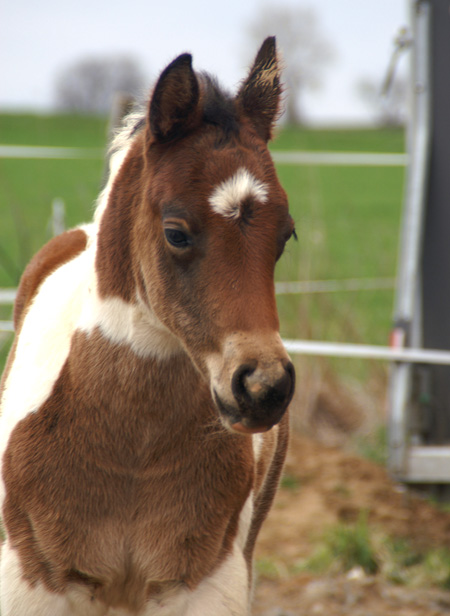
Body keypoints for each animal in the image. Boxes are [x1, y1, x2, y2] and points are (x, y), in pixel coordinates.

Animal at [0, 38, 296, 616]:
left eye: (285, 236)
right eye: (176, 232)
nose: (263, 387)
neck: (130, 452)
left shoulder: (207, 585)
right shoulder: (28, 583)